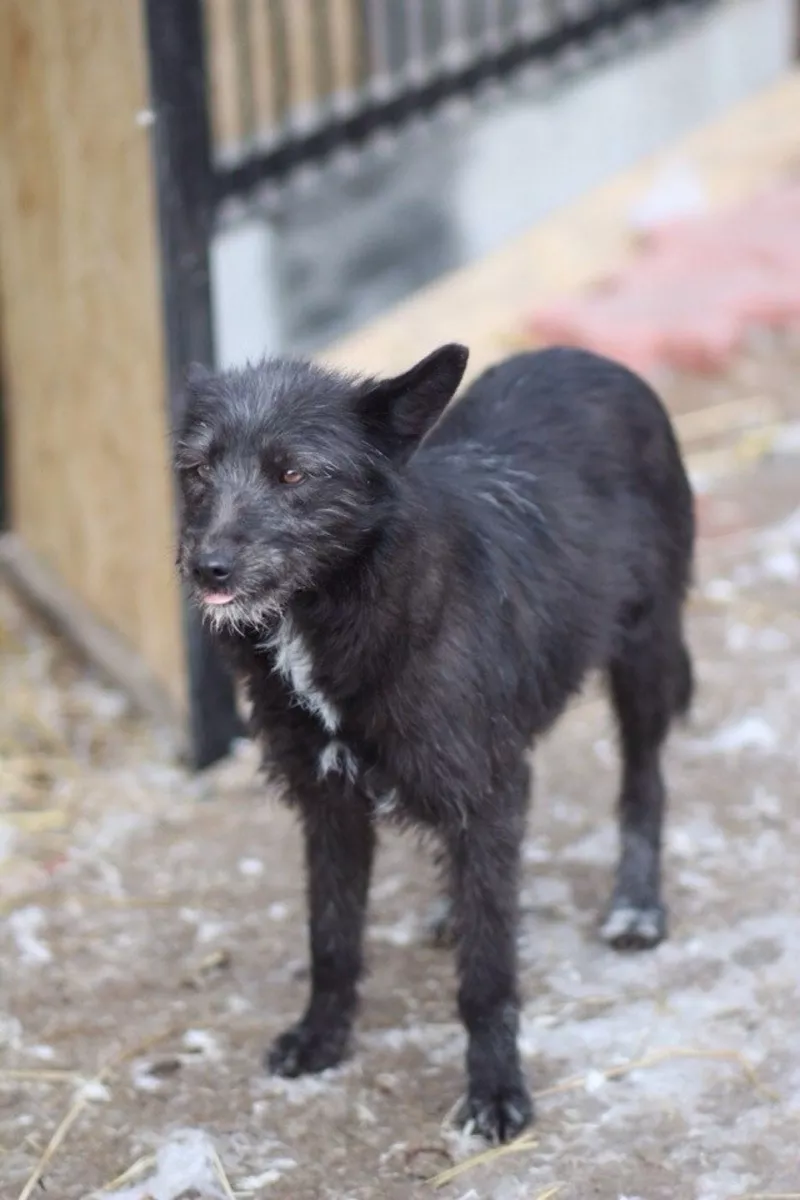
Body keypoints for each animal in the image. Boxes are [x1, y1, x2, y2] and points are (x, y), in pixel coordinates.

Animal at [175, 348, 695, 1142]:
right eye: (198, 468)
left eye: (292, 473)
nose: (208, 567)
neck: (335, 609)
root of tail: (590, 358)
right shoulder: (329, 804)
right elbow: (331, 940)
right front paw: (322, 1038)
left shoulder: (485, 788)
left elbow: (487, 975)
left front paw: (495, 1089)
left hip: (644, 653)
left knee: (644, 781)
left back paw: (636, 905)